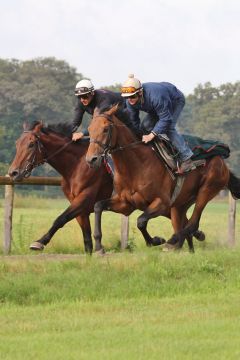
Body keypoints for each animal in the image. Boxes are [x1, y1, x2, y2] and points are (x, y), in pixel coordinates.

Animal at [7, 122, 112, 255]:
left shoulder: (85, 197)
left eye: (31, 144)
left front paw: (40, 242)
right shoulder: (79, 205)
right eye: (17, 143)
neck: (77, 165)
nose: (13, 173)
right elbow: (87, 240)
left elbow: (61, 219)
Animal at [85, 105, 239, 250]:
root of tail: (223, 163)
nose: (91, 159)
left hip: (206, 190)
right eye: (90, 129)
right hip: (180, 204)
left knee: (192, 223)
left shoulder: (162, 202)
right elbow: (98, 206)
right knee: (184, 223)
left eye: (105, 129)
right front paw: (98, 246)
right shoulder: (125, 204)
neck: (135, 166)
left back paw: (173, 241)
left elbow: (141, 221)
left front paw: (155, 240)